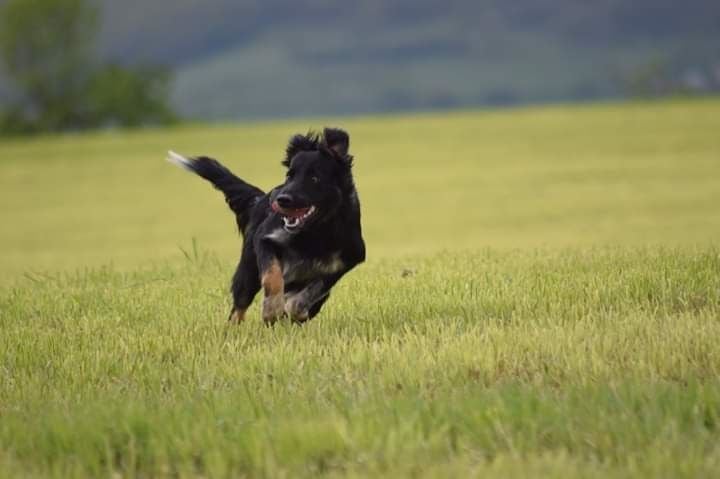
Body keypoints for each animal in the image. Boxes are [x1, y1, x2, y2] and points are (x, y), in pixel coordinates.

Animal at [168, 127, 366, 324]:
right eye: (289, 175)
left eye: (314, 178)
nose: (281, 200)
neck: (314, 232)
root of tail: (259, 199)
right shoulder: (265, 238)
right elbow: (272, 276)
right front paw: (271, 309)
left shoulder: (348, 259)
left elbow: (316, 288)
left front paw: (294, 307)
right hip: (247, 271)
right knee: (238, 308)